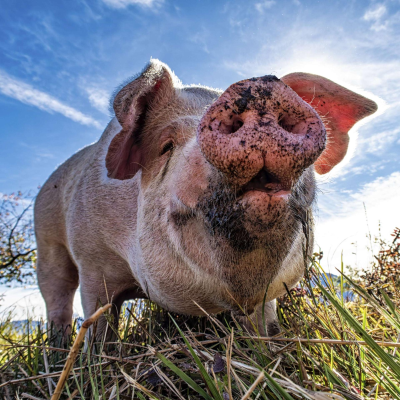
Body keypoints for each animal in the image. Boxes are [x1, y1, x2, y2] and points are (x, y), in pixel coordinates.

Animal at [34, 59, 378, 338]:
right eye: (166, 145)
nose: (258, 87)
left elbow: (264, 326)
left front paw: (266, 347)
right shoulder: (92, 261)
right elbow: (98, 323)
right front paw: (93, 362)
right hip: (47, 243)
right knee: (57, 297)